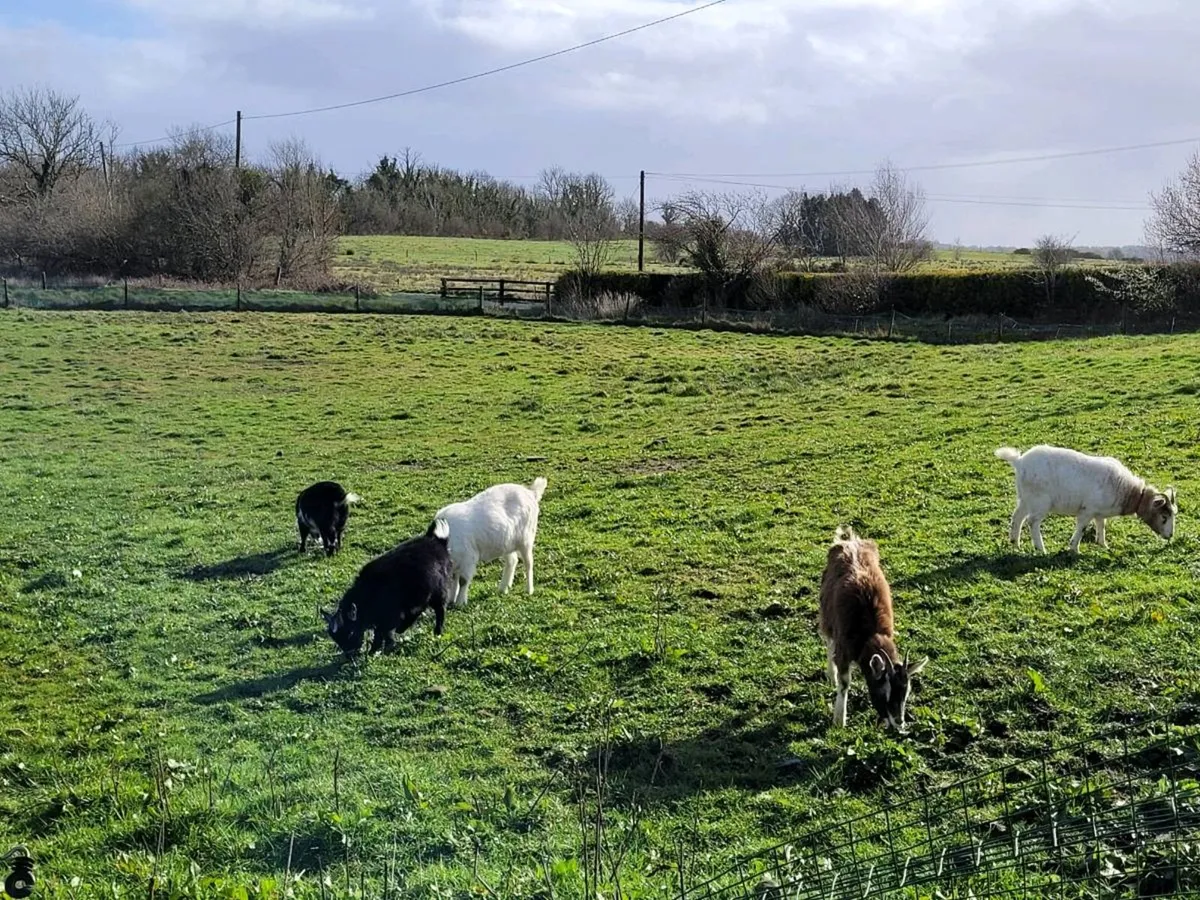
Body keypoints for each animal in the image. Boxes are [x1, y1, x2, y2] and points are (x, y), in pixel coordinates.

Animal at [321, 518, 454, 657]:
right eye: (336, 639)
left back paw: (437, 632)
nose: (350, 655)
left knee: (440, 609)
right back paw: (402, 629)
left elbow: (382, 634)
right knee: (419, 610)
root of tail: (438, 542)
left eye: (351, 632)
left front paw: (379, 650)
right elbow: (381, 633)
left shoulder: (389, 617)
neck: (367, 594)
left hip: (438, 591)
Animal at [435, 476, 547, 608]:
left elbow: (463, 581)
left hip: (526, 538)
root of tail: (531, 493)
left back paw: (529, 590)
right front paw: (451, 600)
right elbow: (454, 580)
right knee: (512, 561)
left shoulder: (468, 558)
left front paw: (460, 602)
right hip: (506, 543)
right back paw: (503, 588)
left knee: (528, 563)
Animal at [818, 525, 928, 731]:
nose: (899, 722)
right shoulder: (844, 647)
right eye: (884, 691)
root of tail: (850, 542)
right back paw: (830, 674)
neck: (869, 632)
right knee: (828, 642)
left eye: (906, 693)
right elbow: (844, 683)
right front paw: (839, 719)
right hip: (826, 615)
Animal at [995, 445, 1177, 554]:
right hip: (1040, 501)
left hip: (1025, 498)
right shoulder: (1087, 510)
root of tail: (1019, 462)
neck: (1127, 491)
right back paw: (1041, 549)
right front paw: (1074, 548)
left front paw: (1103, 544)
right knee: (1032, 521)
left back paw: (1015, 543)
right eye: (1164, 517)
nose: (1170, 536)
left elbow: (1102, 525)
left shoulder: (1099, 512)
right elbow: (1082, 528)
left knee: (1017, 517)